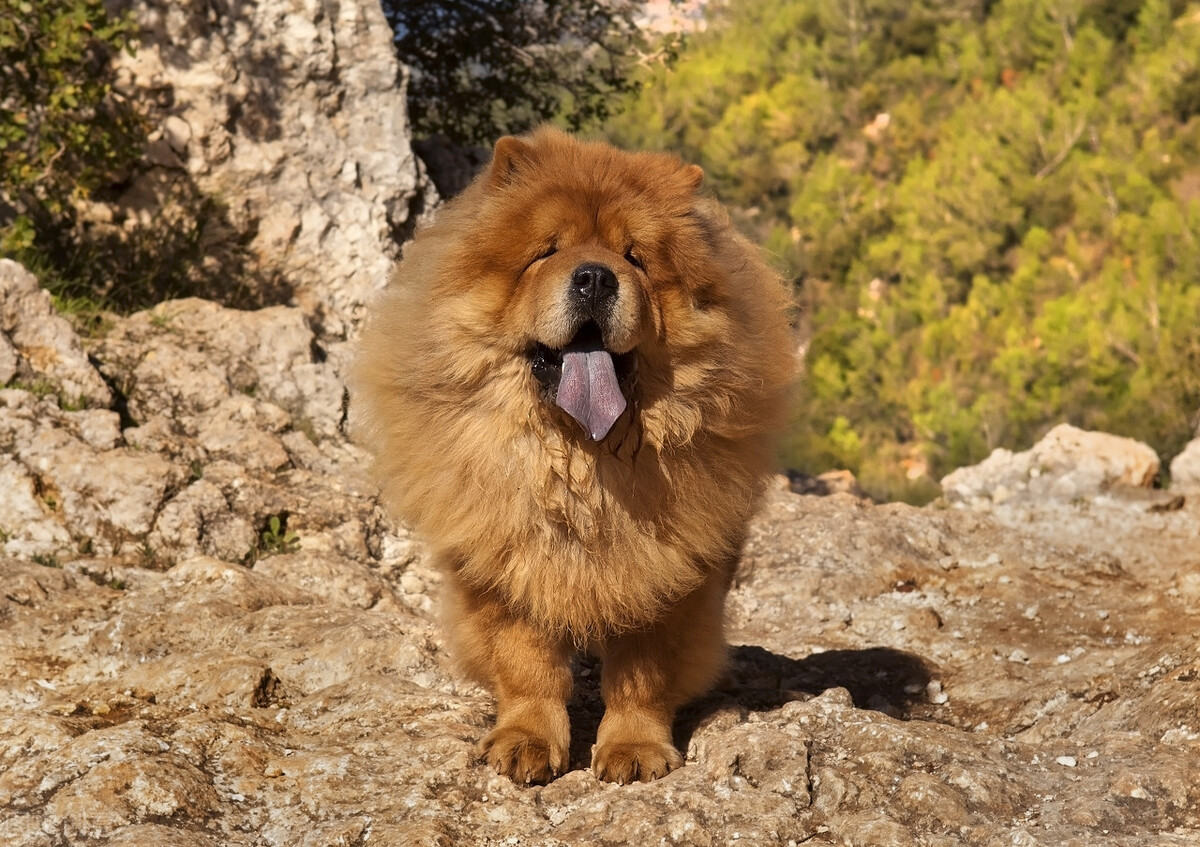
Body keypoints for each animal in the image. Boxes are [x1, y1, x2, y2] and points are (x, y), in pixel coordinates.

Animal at [350, 128, 796, 782]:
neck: (581, 461)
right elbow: (526, 664)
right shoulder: (502, 560)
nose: (594, 278)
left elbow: (642, 674)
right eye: (547, 252)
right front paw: (525, 741)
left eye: (635, 257)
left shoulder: (667, 575)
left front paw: (634, 750)